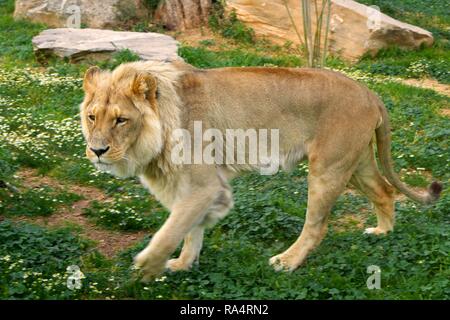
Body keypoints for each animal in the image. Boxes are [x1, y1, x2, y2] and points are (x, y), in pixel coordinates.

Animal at [79, 60, 442, 280]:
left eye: (121, 120)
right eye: (92, 116)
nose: (97, 151)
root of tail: (370, 92)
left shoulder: (203, 185)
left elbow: (172, 229)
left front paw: (148, 268)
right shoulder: (193, 188)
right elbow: (190, 229)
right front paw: (183, 264)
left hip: (329, 168)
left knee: (317, 225)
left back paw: (287, 261)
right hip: (357, 162)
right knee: (385, 190)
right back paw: (383, 232)